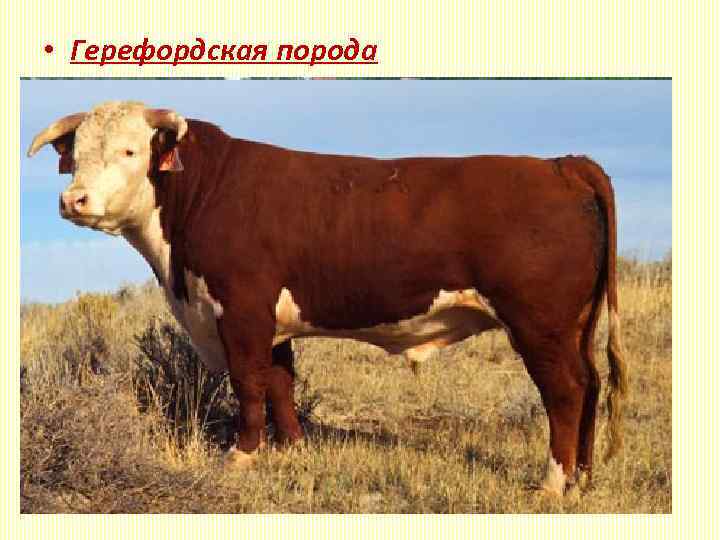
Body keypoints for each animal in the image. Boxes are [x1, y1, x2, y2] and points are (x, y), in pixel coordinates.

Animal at [27, 100, 628, 495]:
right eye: (77, 154)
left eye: (130, 150)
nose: (73, 200)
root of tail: (561, 164)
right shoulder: (269, 320)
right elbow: (280, 384)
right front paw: (292, 448)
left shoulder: (241, 308)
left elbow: (249, 384)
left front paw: (240, 457)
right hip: (576, 324)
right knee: (593, 383)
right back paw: (584, 477)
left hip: (539, 323)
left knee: (566, 391)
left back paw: (553, 482)